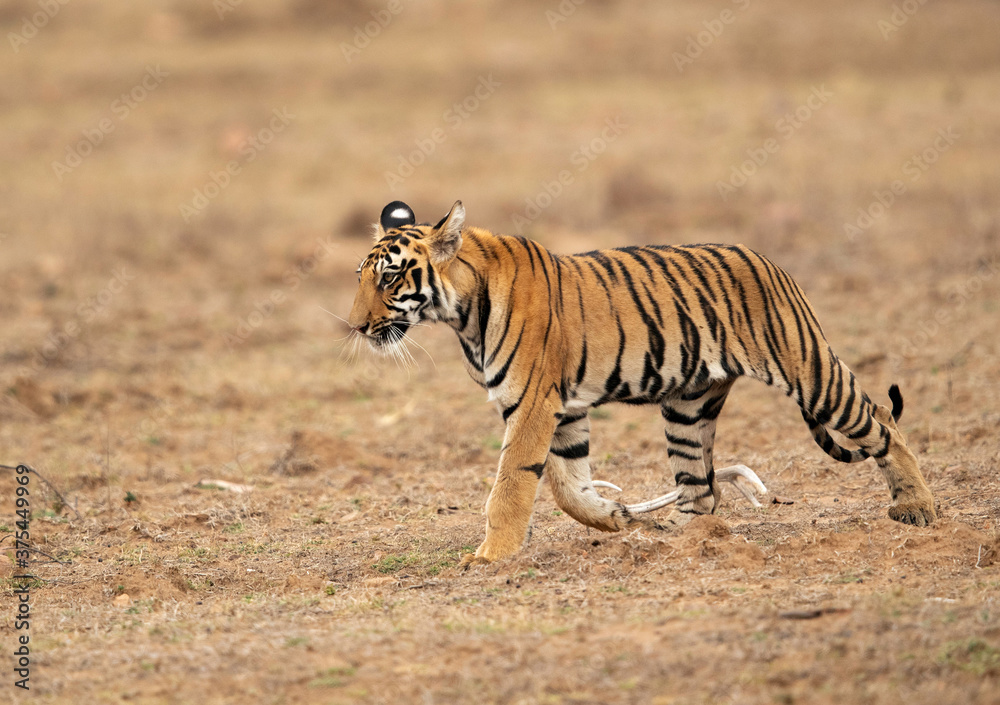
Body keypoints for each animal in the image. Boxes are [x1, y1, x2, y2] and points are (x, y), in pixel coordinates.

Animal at [347, 200, 936, 567]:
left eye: (390, 277)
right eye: (361, 278)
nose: (355, 326)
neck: (462, 313)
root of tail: (770, 261)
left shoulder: (534, 403)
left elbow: (512, 485)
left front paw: (490, 558)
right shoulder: (565, 409)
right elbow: (566, 486)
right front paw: (611, 518)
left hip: (810, 373)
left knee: (883, 423)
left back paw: (917, 507)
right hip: (687, 409)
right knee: (702, 492)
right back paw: (676, 539)